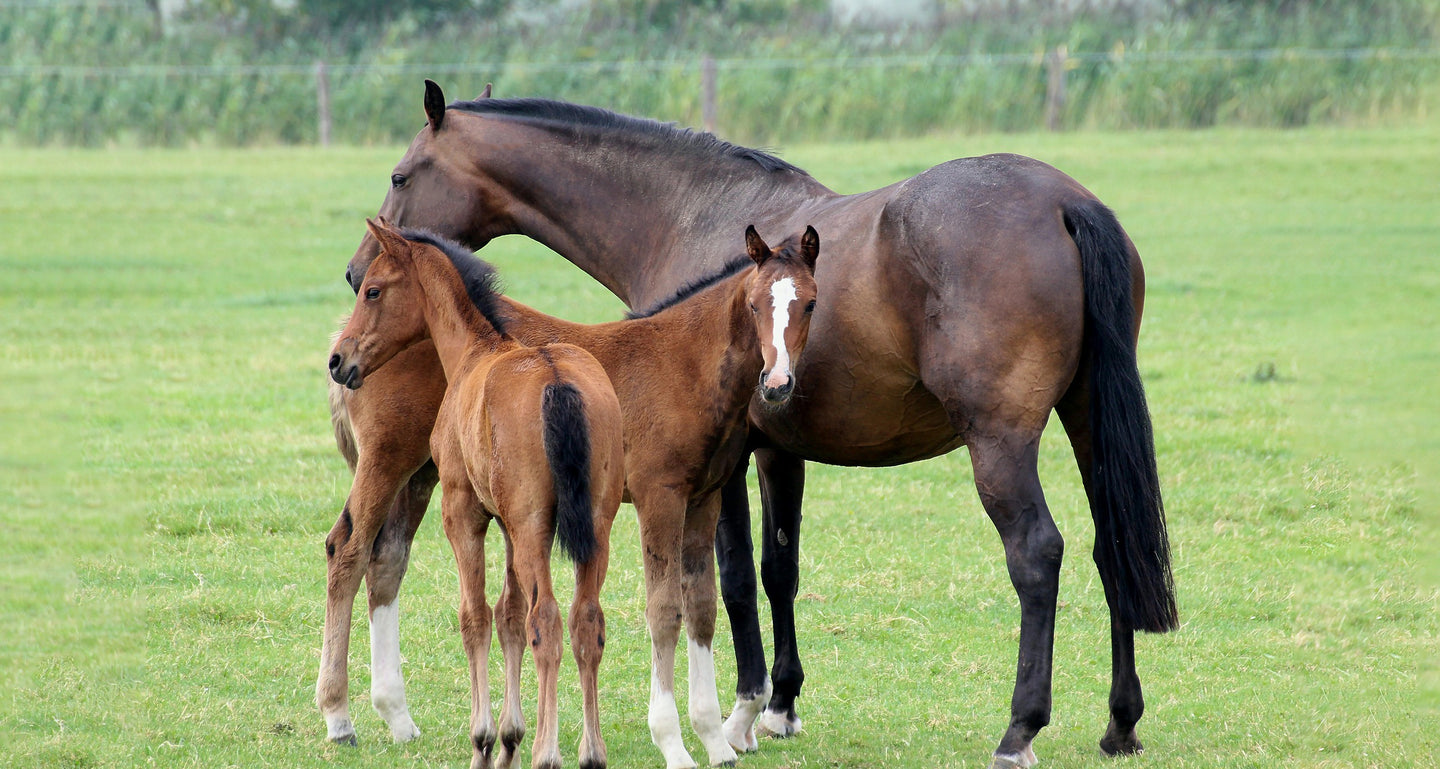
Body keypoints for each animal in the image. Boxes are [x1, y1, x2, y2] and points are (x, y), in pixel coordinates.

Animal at [331, 81, 1175, 766]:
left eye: (402, 174)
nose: (354, 269)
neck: (687, 212)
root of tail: (1065, 203)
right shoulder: (775, 450)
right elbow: (777, 568)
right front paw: (780, 703)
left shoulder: (725, 465)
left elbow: (731, 579)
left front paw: (737, 713)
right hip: (1087, 421)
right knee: (1110, 548)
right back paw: (1121, 721)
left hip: (1000, 442)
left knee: (1037, 553)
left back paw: (1019, 727)